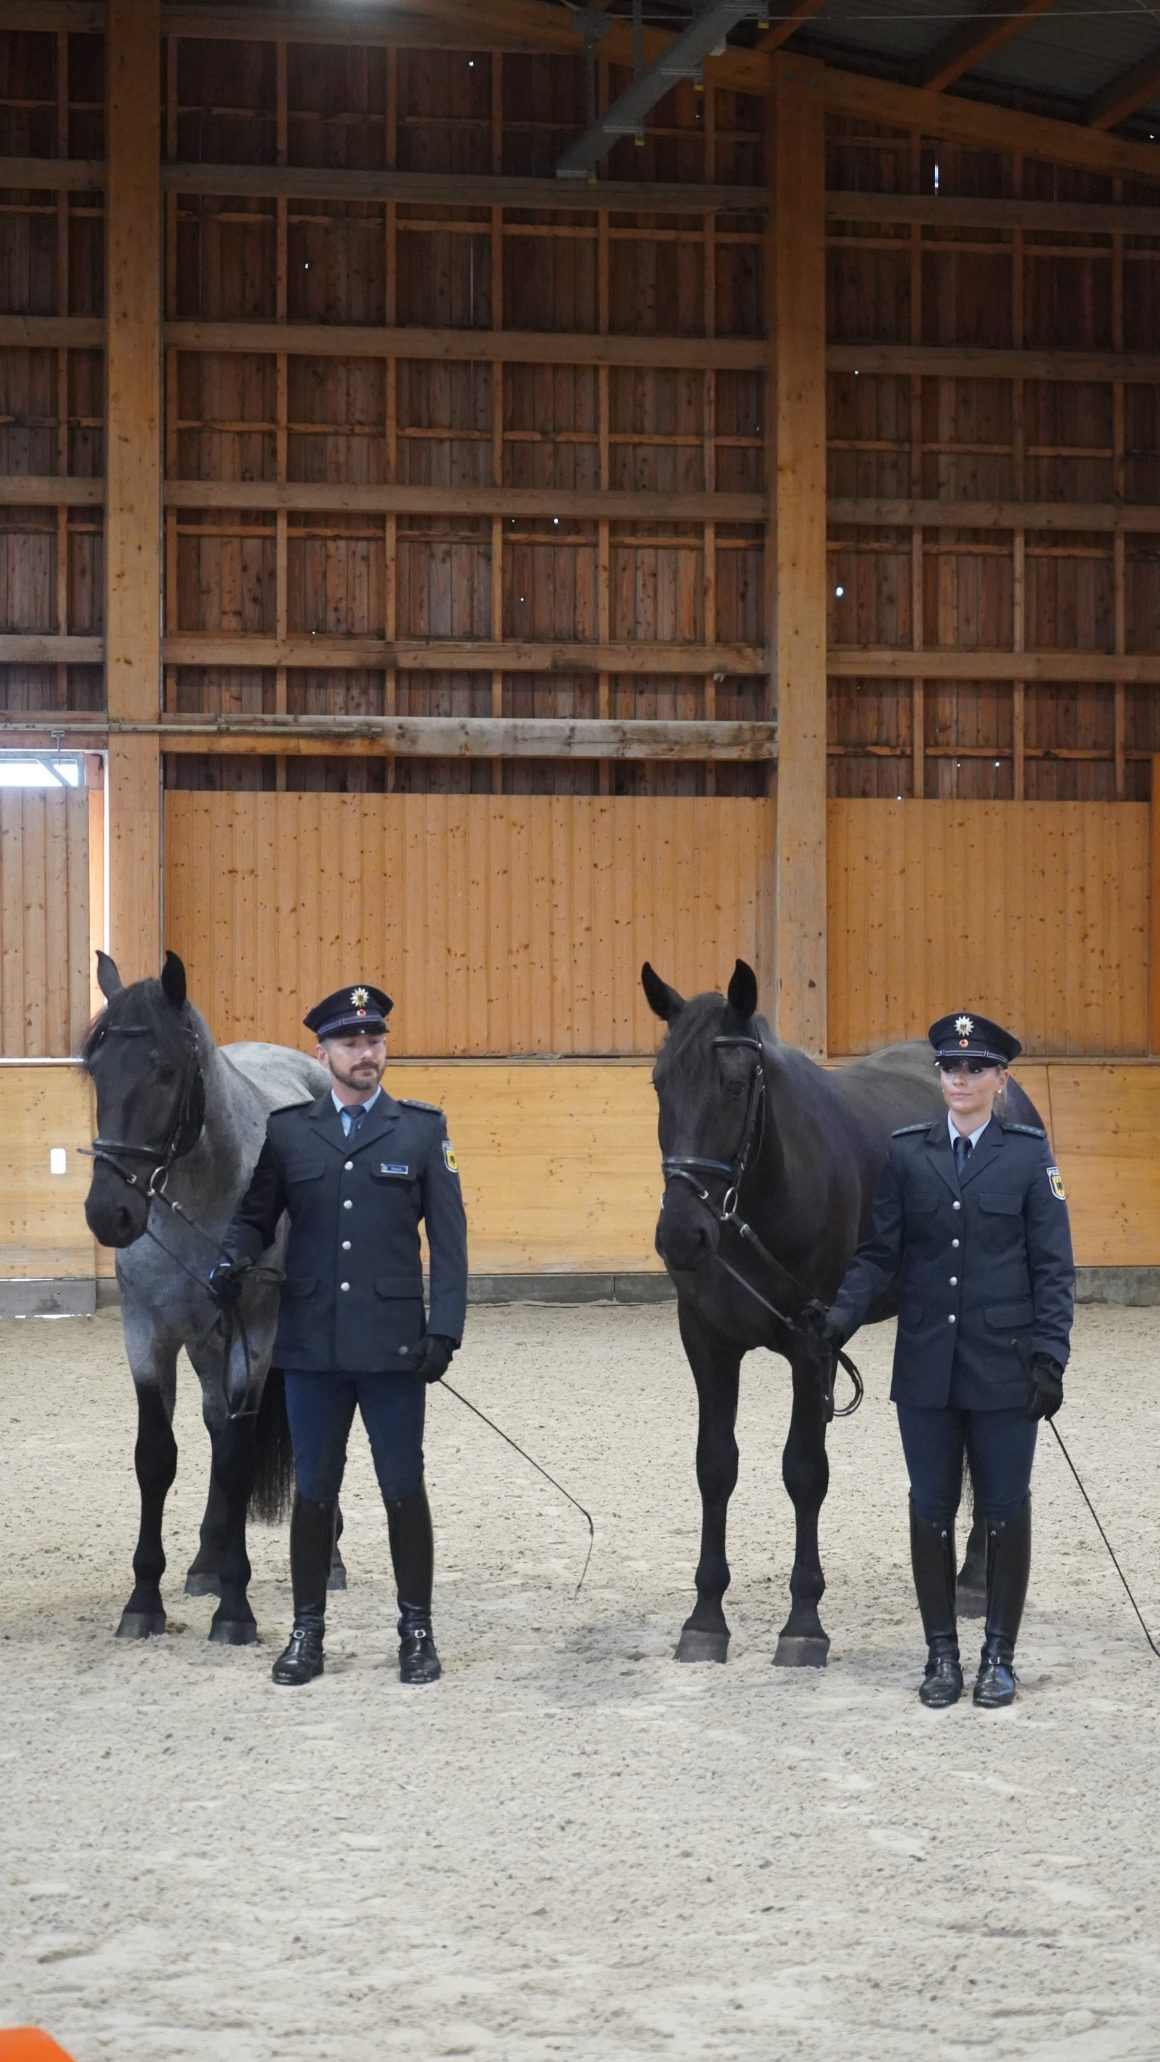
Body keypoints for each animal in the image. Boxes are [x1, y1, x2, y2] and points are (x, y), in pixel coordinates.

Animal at [80, 949, 329, 1644]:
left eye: (165, 1070)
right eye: (96, 1070)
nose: (109, 1213)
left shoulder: (254, 1336)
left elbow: (241, 1459)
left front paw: (236, 1610)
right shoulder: (149, 1336)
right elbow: (156, 1458)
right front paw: (145, 1599)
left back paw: (329, 1564)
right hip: (204, 1343)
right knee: (217, 1427)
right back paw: (207, 1562)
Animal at [642, 957, 1045, 1667]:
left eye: (735, 1084)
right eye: (662, 1083)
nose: (681, 1236)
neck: (761, 1197)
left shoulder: (814, 1344)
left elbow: (804, 1472)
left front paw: (804, 1622)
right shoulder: (708, 1341)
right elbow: (715, 1466)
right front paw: (706, 1617)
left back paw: (975, 1578)